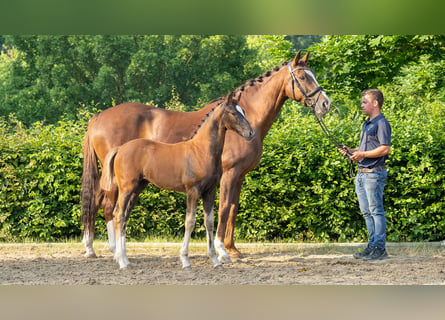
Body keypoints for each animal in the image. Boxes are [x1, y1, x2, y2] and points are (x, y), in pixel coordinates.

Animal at [99, 94, 253, 268]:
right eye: (233, 113)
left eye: (244, 111)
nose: (250, 133)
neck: (201, 151)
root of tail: (120, 149)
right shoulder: (193, 191)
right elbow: (190, 222)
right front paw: (185, 260)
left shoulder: (210, 191)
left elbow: (209, 222)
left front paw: (215, 260)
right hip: (126, 189)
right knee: (118, 214)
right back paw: (122, 261)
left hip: (137, 188)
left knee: (124, 216)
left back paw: (124, 259)